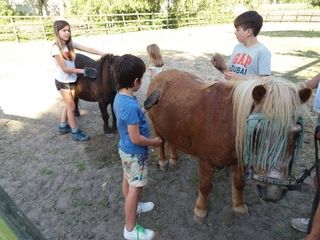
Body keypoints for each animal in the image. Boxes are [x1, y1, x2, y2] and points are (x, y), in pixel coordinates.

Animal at [146, 69, 312, 219]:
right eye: (257, 129)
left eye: (296, 134)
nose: (272, 192)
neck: (229, 123)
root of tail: (161, 74)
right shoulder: (206, 162)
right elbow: (205, 187)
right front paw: (200, 209)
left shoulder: (240, 161)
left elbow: (239, 184)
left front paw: (239, 206)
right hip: (157, 127)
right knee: (161, 142)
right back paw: (163, 161)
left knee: (171, 141)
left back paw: (174, 159)